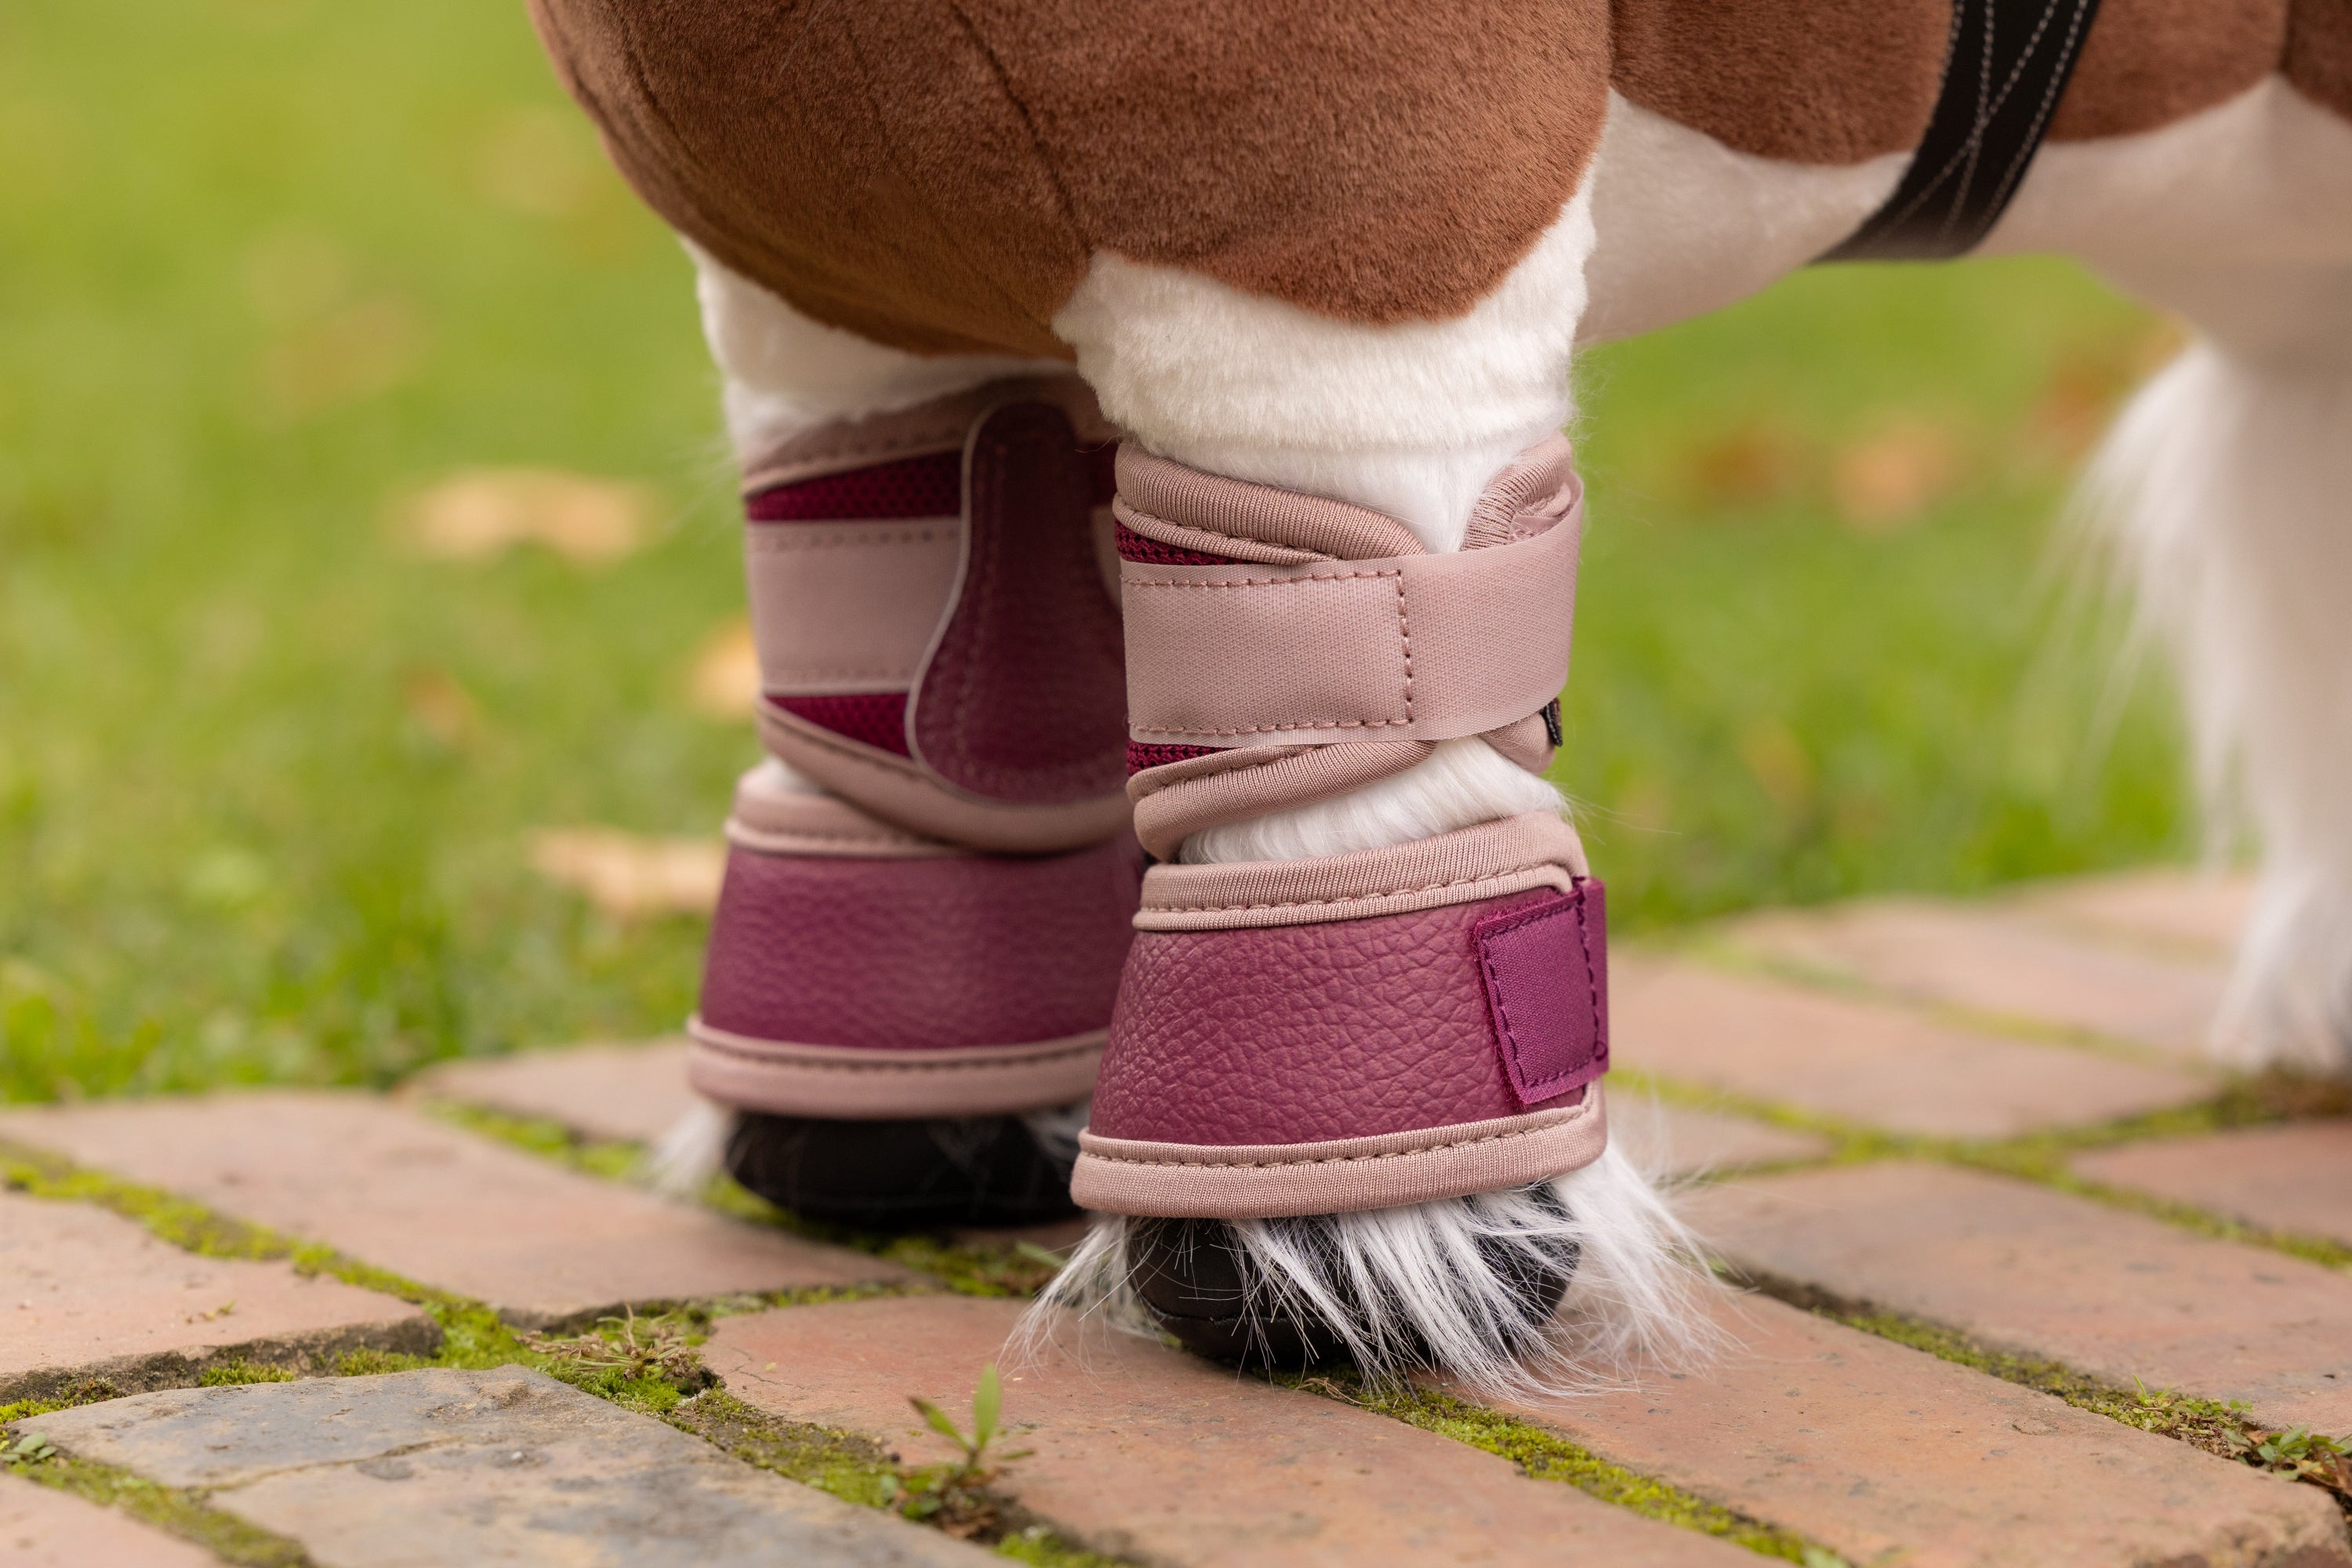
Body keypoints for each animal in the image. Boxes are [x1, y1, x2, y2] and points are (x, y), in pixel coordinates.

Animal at [523, 0, 2352, 1388]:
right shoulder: (834, 319)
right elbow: (929, 707)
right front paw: (889, 1130)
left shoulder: (1348, 239)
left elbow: (1352, 774)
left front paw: (1344, 1259)